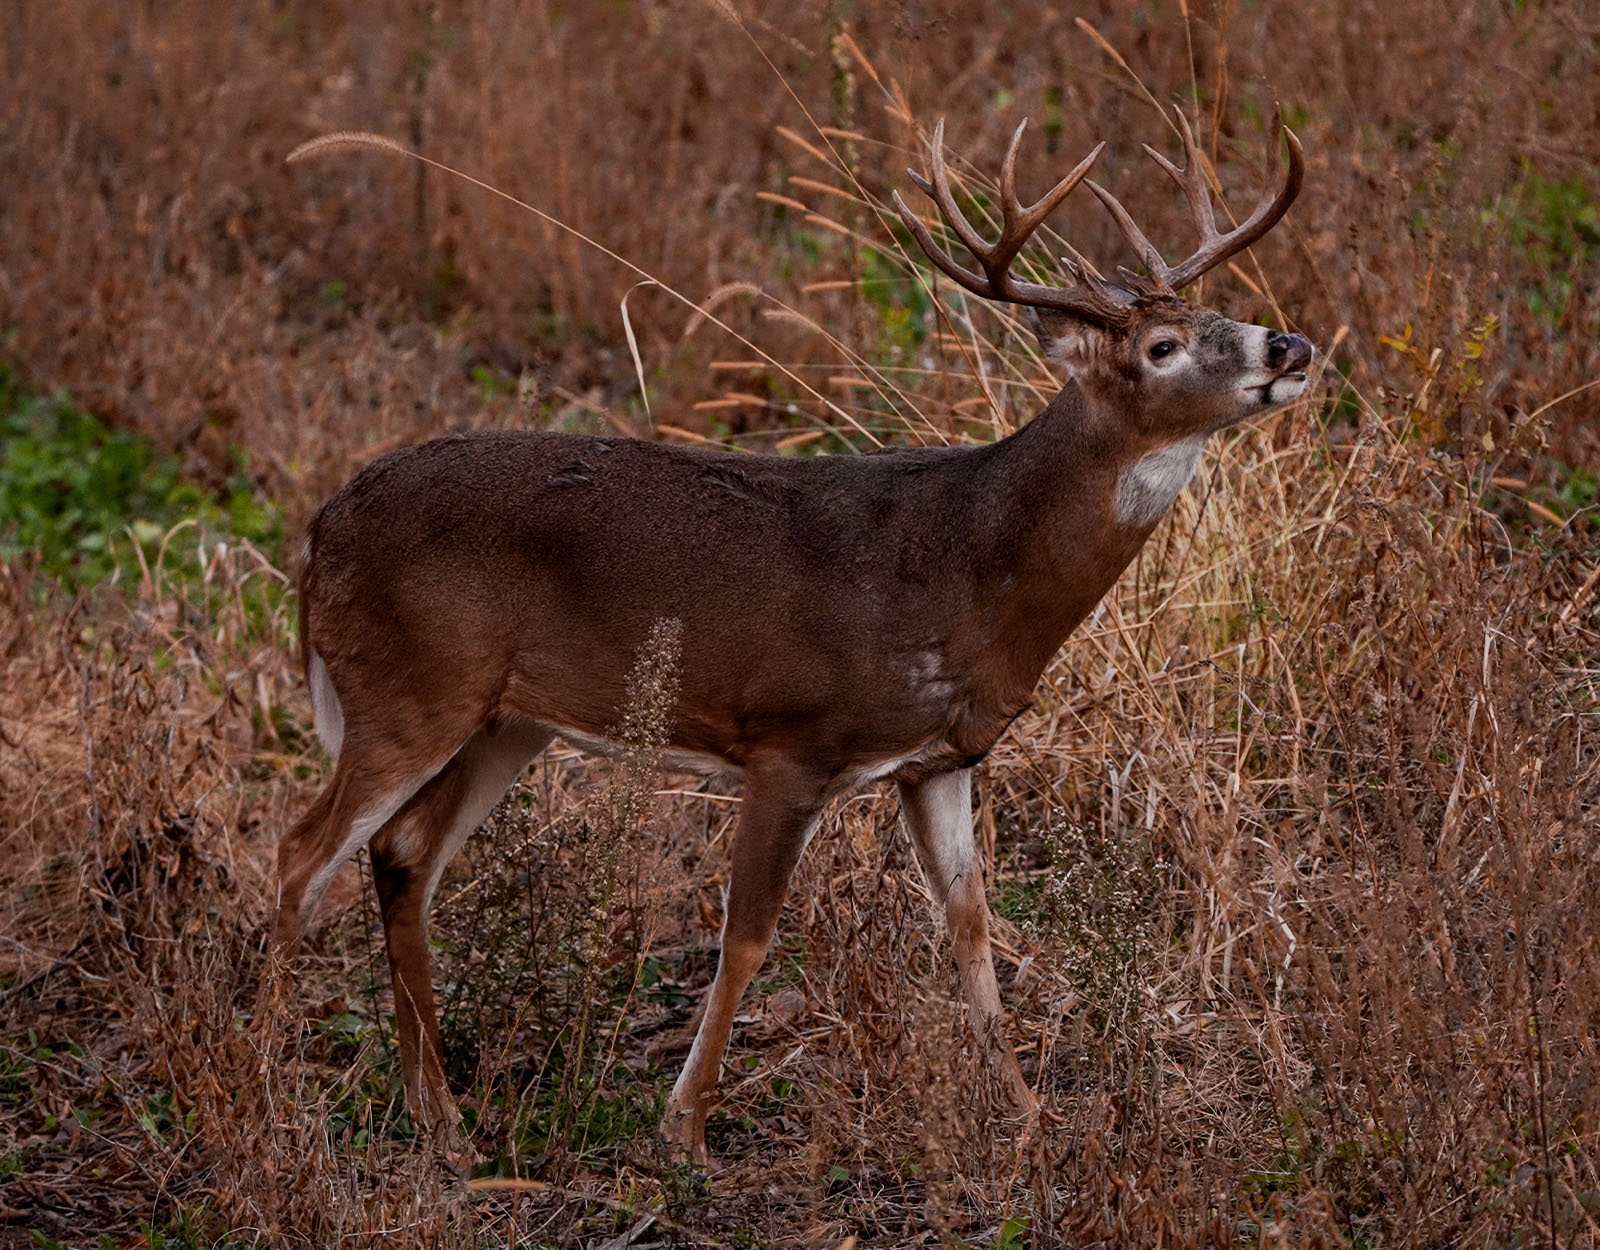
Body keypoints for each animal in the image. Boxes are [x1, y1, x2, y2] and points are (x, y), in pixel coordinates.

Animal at [265, 107, 1312, 1158]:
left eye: (1219, 314)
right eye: (1165, 347)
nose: (1289, 346)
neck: (970, 571)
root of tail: (319, 528)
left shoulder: (943, 758)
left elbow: (972, 923)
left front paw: (1024, 1114)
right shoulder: (791, 742)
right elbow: (748, 935)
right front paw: (682, 1126)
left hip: (504, 719)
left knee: (403, 854)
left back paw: (437, 1115)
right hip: (407, 685)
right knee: (302, 852)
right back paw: (269, 1080)